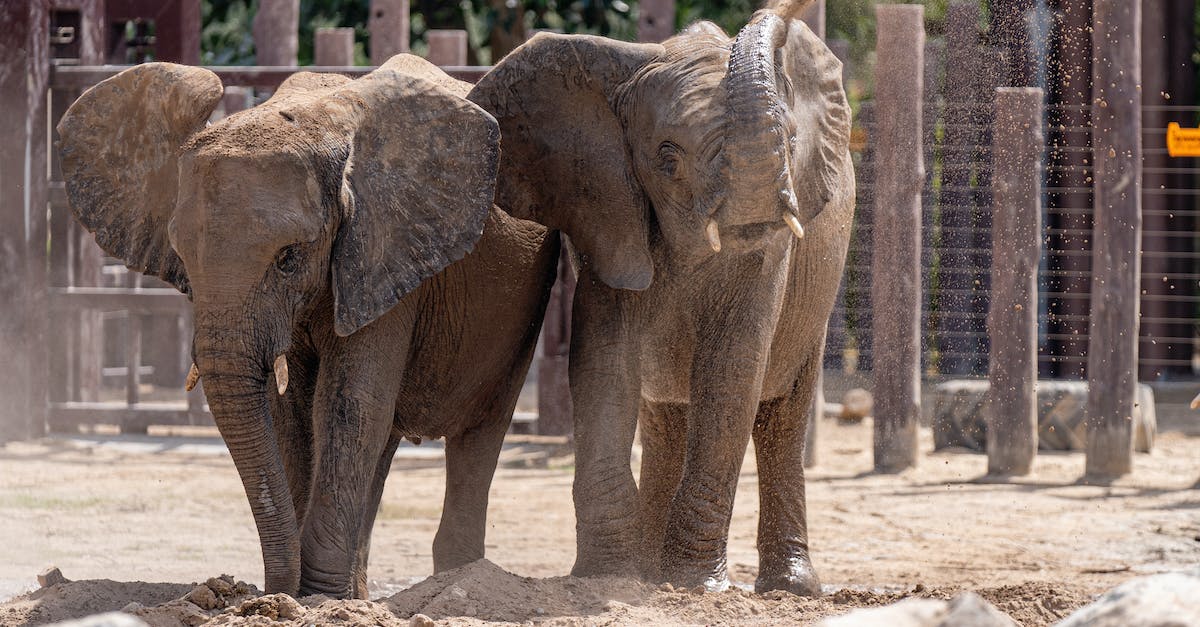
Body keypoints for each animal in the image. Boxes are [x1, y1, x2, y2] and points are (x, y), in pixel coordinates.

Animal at [57, 56, 559, 598]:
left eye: (288, 258)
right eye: (182, 257)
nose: (266, 592)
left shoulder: (381, 253)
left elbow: (347, 401)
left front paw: (316, 597)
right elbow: (292, 409)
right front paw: (308, 595)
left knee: (478, 430)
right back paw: (360, 595)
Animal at [468, 0, 853, 595]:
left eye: (791, 143)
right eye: (667, 159)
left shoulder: (777, 246)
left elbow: (732, 367)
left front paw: (692, 585)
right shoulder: (604, 208)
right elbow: (603, 359)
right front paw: (608, 577)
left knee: (782, 413)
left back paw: (790, 588)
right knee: (664, 415)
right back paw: (647, 573)